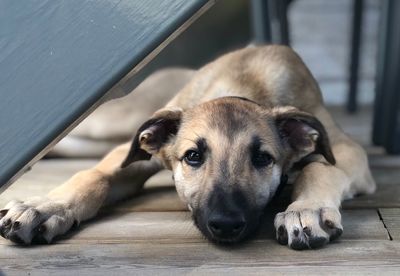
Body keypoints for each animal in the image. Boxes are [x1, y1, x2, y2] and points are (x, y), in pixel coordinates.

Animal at [0, 45, 376, 250]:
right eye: (193, 156)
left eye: (262, 158)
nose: (226, 224)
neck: (245, 83)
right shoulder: (132, 155)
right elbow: (93, 177)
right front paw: (46, 207)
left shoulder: (347, 150)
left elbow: (319, 167)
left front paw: (307, 208)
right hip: (114, 121)